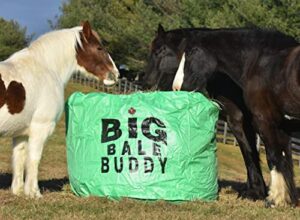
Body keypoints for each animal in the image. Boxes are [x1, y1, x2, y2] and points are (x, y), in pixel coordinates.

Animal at [0, 21, 119, 199]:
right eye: (99, 48)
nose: (115, 75)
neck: (46, 69)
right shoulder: (40, 127)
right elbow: (34, 159)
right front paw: (34, 193)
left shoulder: (20, 132)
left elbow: (19, 158)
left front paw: (18, 192)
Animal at [172, 29, 300, 206]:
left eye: (191, 52)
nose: (176, 87)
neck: (263, 64)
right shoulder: (281, 126)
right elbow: (284, 159)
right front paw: (287, 198)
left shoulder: (264, 121)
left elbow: (272, 157)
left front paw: (274, 198)